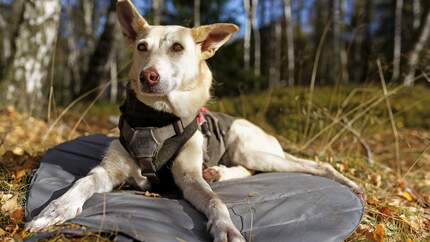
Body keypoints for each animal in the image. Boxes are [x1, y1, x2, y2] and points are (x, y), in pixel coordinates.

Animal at [26, 0, 362, 241]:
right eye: (141, 47)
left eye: (177, 48)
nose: (148, 76)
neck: (155, 118)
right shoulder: (107, 171)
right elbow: (82, 182)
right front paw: (56, 209)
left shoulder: (189, 178)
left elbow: (215, 202)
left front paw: (226, 228)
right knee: (250, 170)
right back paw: (218, 172)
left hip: (251, 148)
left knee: (312, 165)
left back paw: (346, 181)